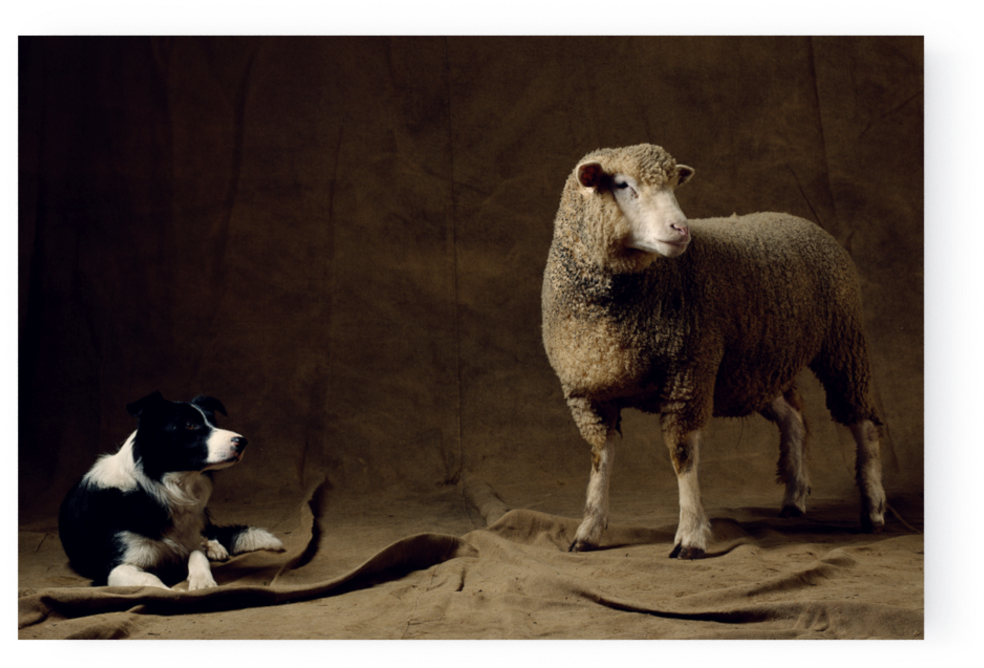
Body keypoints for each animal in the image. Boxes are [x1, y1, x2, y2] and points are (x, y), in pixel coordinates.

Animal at [541, 143, 887, 559]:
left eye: (674, 185)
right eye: (623, 185)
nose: (681, 230)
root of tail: (798, 219)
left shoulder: (688, 373)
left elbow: (682, 455)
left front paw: (690, 535)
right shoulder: (587, 389)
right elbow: (599, 459)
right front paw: (588, 530)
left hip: (843, 342)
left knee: (863, 423)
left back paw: (874, 509)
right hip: (756, 368)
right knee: (795, 418)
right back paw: (794, 496)